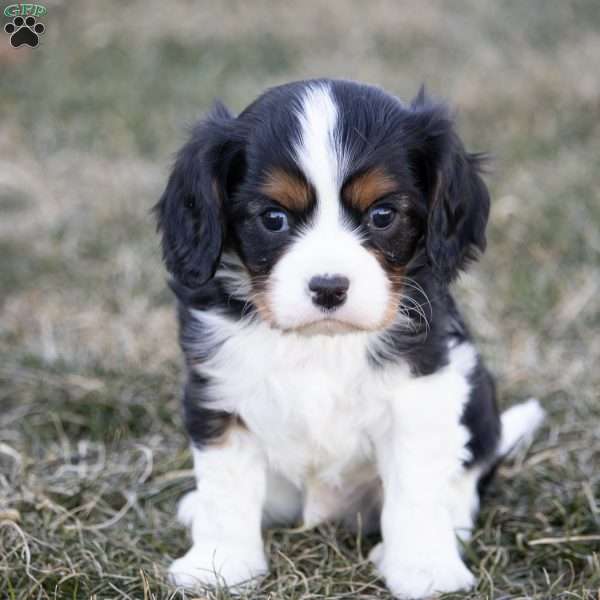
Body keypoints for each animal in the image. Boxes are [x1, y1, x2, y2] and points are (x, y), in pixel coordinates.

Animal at [155, 79, 544, 600]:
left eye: (382, 214)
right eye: (273, 218)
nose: (328, 287)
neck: (320, 342)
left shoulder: (421, 391)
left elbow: (417, 489)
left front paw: (424, 568)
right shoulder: (219, 391)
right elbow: (226, 488)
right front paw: (219, 565)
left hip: (474, 387)